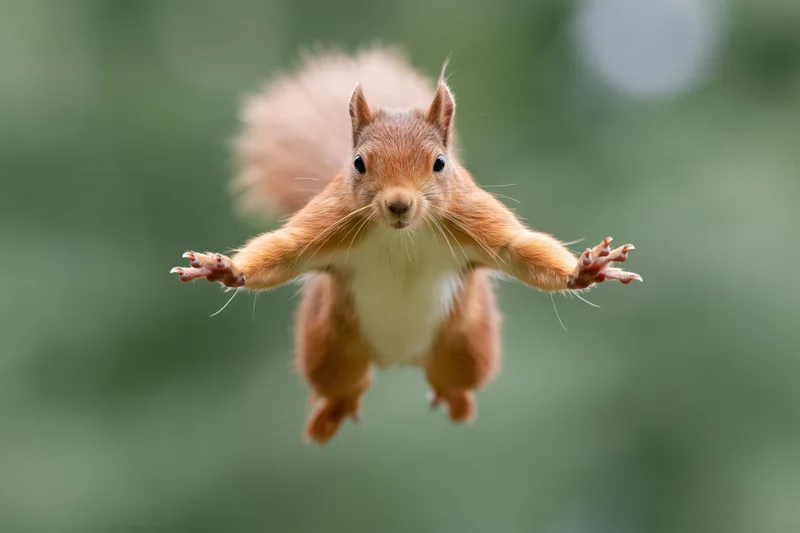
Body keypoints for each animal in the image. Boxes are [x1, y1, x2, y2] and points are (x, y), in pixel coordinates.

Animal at [170, 46, 642, 445]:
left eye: (440, 163)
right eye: (358, 164)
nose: (399, 204)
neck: (402, 235)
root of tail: (398, 360)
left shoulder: (473, 219)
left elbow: (516, 247)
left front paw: (585, 270)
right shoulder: (329, 223)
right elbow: (289, 248)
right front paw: (224, 269)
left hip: (467, 345)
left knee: (451, 380)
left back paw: (456, 402)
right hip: (329, 349)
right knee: (345, 387)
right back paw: (329, 415)